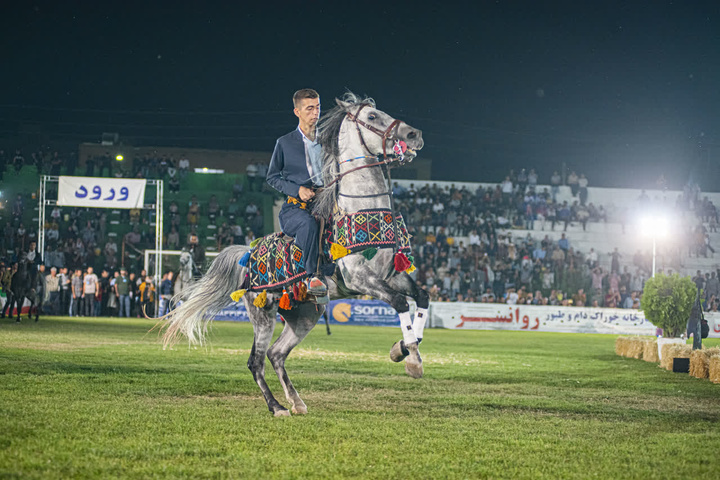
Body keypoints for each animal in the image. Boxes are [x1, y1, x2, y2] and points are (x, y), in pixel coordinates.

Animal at [160, 94, 424, 416]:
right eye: (372, 117)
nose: (414, 134)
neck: (361, 207)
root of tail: (247, 256)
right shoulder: (361, 280)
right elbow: (401, 303)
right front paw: (411, 359)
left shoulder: (393, 275)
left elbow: (421, 297)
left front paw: (403, 348)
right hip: (263, 314)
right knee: (256, 361)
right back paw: (277, 406)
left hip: (305, 315)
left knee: (276, 354)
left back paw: (296, 401)